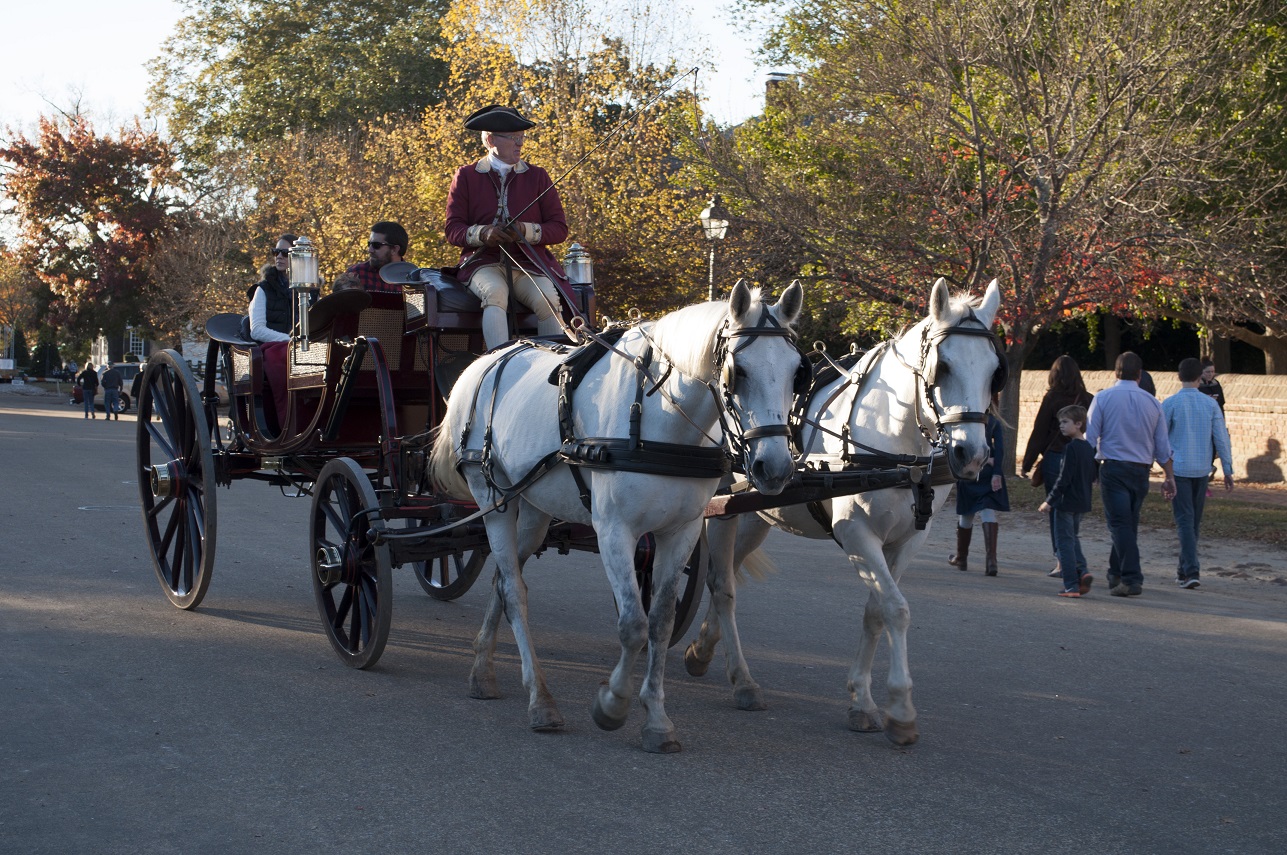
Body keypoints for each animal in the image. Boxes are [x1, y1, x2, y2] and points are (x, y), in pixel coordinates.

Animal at [437, 283, 808, 751]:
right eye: (736, 372)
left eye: (797, 373)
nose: (774, 468)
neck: (658, 421)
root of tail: (482, 364)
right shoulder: (614, 531)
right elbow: (632, 624)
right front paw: (613, 704)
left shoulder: (682, 532)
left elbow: (660, 623)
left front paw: (657, 721)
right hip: (493, 498)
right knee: (515, 593)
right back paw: (540, 700)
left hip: (534, 510)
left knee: (504, 580)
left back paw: (482, 671)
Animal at [689, 276, 998, 746]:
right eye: (941, 367)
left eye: (994, 371)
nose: (973, 454)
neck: (896, 447)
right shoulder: (857, 535)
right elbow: (896, 609)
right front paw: (900, 707)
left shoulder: (909, 540)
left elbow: (876, 611)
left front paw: (862, 699)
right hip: (723, 513)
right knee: (723, 586)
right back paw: (741, 680)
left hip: (757, 514)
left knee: (724, 577)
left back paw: (703, 648)